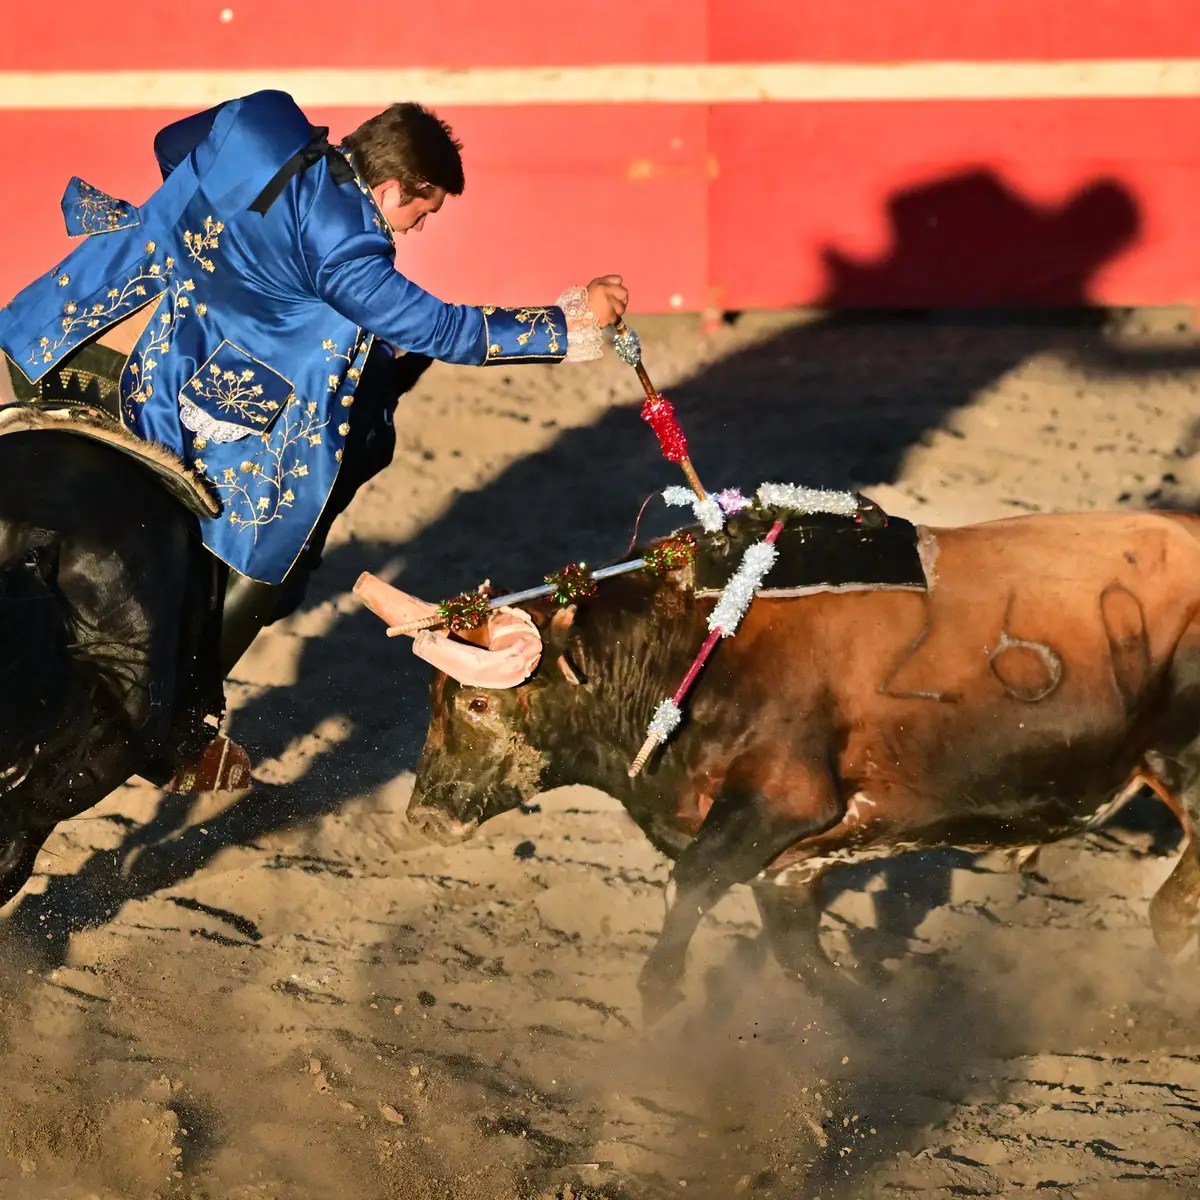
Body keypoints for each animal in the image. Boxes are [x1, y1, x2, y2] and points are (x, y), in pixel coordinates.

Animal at [355, 508, 1200, 1022]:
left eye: (478, 703)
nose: (422, 816)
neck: (694, 651)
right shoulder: (790, 861)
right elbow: (803, 959)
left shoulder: (782, 801)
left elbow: (691, 884)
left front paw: (660, 1004)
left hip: (1184, 759)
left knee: (1176, 900)